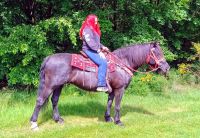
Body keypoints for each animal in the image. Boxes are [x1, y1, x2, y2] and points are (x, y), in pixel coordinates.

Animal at [30, 41, 170, 130]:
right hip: (50, 85)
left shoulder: (112, 90)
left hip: (59, 86)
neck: (122, 63)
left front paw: (108, 118)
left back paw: (58, 119)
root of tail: (48, 58)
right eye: (157, 53)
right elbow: (117, 106)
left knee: (54, 100)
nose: (167, 68)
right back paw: (34, 124)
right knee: (40, 101)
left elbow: (109, 103)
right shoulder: (120, 89)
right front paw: (118, 122)